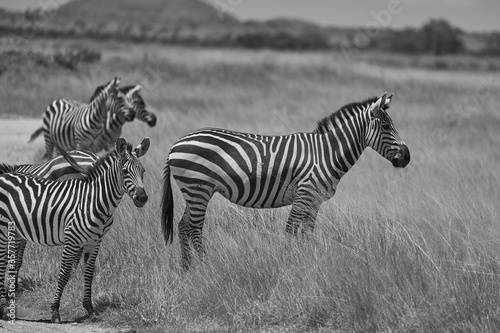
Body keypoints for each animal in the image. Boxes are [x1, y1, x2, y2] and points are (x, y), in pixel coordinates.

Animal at [162, 92, 412, 268]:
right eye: (387, 126)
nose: (407, 157)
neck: (327, 153)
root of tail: (176, 144)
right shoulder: (304, 194)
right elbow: (291, 232)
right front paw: (289, 263)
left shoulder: (315, 200)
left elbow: (307, 233)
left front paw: (310, 261)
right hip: (199, 188)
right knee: (194, 227)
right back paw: (206, 265)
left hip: (194, 191)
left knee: (183, 225)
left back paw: (187, 268)